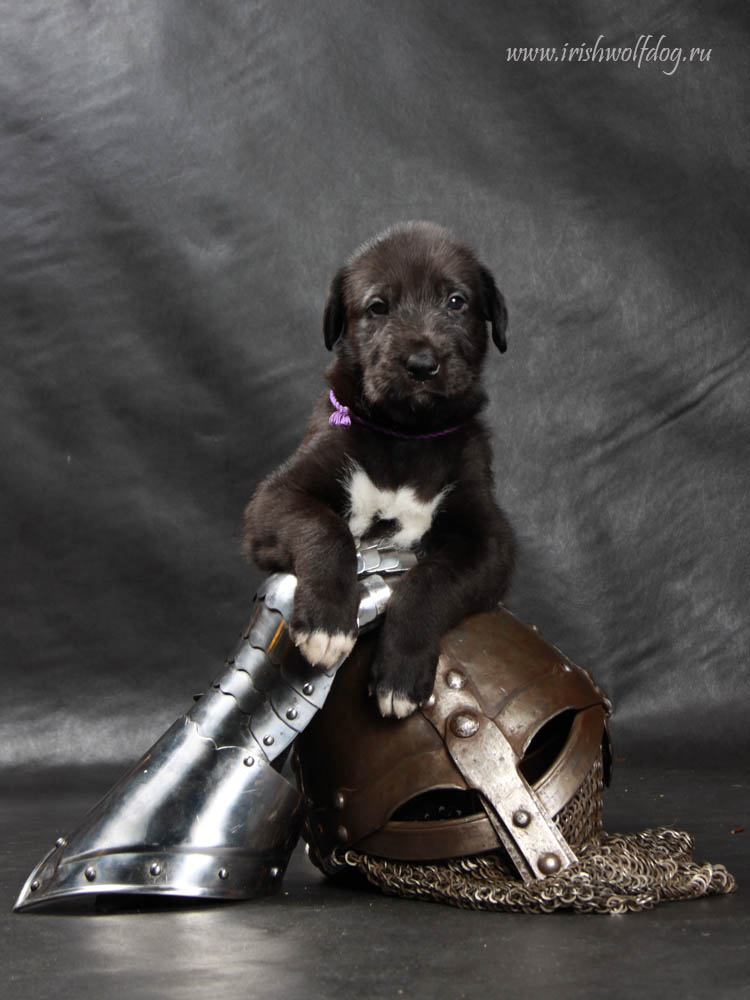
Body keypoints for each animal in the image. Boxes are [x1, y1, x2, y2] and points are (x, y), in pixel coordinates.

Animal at [247, 222, 516, 716]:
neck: (406, 436)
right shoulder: (275, 496)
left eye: (456, 301)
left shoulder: (490, 541)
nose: (422, 365)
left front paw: (401, 676)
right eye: (377, 307)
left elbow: (430, 580)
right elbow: (325, 527)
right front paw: (327, 624)